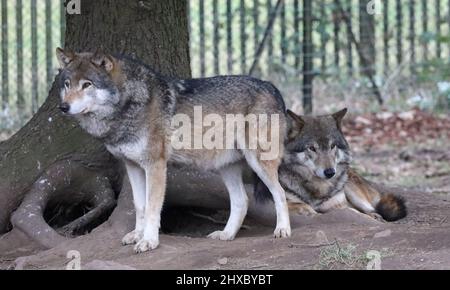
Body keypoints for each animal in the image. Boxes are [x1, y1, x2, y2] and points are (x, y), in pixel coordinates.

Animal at [55, 48, 292, 253]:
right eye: (67, 84)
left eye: (87, 84)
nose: (63, 107)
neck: (129, 105)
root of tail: (271, 86)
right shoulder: (132, 166)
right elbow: (140, 205)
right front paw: (137, 235)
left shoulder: (156, 166)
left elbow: (152, 206)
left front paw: (149, 241)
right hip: (226, 167)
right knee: (242, 201)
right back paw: (226, 234)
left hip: (258, 161)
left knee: (280, 193)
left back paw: (283, 230)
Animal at [253, 107, 408, 221]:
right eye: (312, 148)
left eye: (332, 146)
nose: (330, 172)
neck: (318, 188)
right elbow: (301, 206)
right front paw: (310, 211)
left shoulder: (340, 206)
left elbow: (353, 211)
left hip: (351, 189)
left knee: (371, 210)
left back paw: (375, 216)